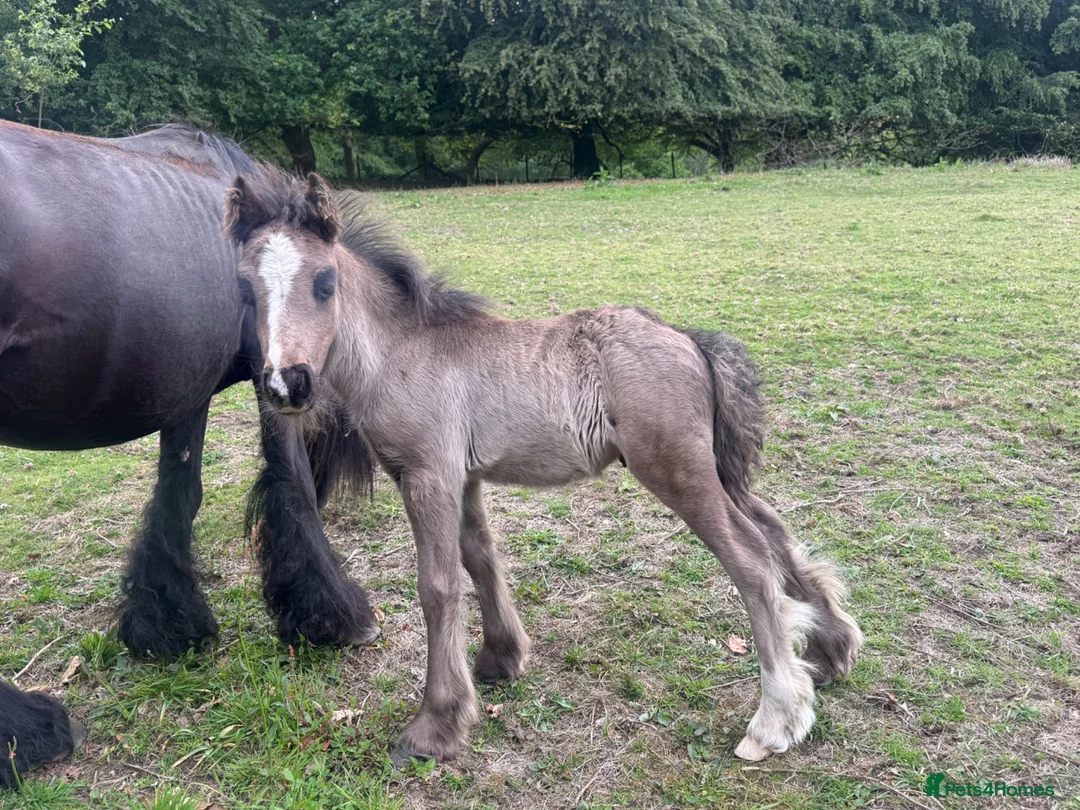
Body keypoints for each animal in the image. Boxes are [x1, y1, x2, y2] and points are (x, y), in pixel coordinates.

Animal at [0, 122, 380, 787]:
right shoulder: (265, 377)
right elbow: (290, 483)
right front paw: (330, 613)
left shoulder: (186, 393)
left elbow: (179, 492)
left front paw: (166, 624)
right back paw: (27, 732)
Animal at [223, 168, 864, 764]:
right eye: (246, 289)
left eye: (324, 283)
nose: (286, 384)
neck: (400, 351)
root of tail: (686, 338)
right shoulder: (463, 477)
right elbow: (481, 561)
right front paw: (500, 660)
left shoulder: (428, 474)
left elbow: (438, 586)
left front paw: (436, 725)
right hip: (712, 469)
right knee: (773, 530)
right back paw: (831, 650)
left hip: (677, 472)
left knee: (752, 560)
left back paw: (776, 718)